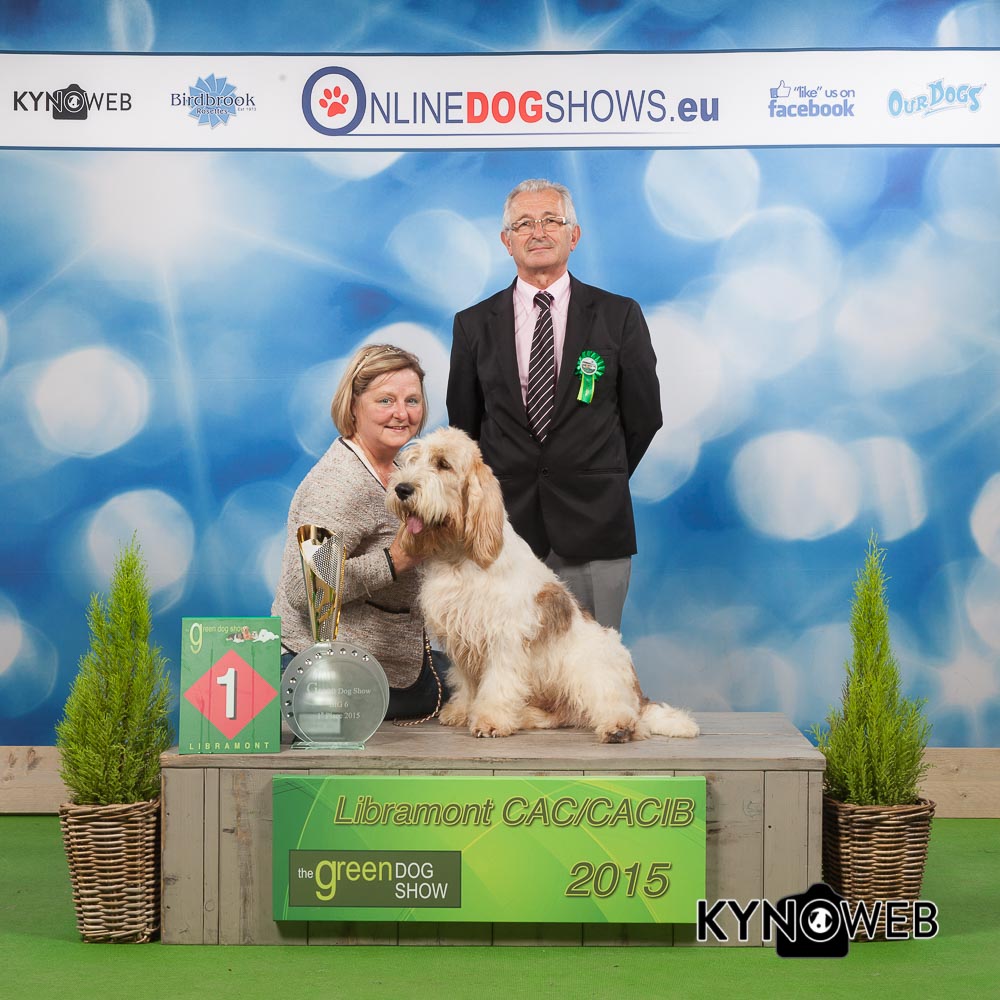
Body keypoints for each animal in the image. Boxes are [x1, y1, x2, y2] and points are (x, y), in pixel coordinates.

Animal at [386, 426, 699, 744]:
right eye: (412, 461)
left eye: (443, 464)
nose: (402, 489)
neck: (459, 554)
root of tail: (637, 691)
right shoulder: (460, 634)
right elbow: (464, 681)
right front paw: (462, 711)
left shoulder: (504, 637)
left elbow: (498, 683)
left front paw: (490, 720)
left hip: (589, 668)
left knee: (618, 708)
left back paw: (618, 727)